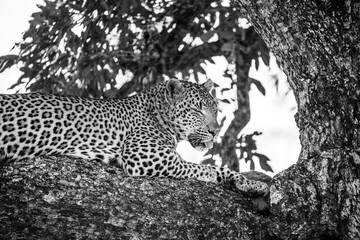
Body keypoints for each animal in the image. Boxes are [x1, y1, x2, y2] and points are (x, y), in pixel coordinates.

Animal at [0, 79, 268, 196]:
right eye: (196, 110)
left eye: (215, 110)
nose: (215, 131)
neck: (157, 113)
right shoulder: (146, 157)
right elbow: (202, 167)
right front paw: (218, 177)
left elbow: (219, 168)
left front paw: (253, 185)